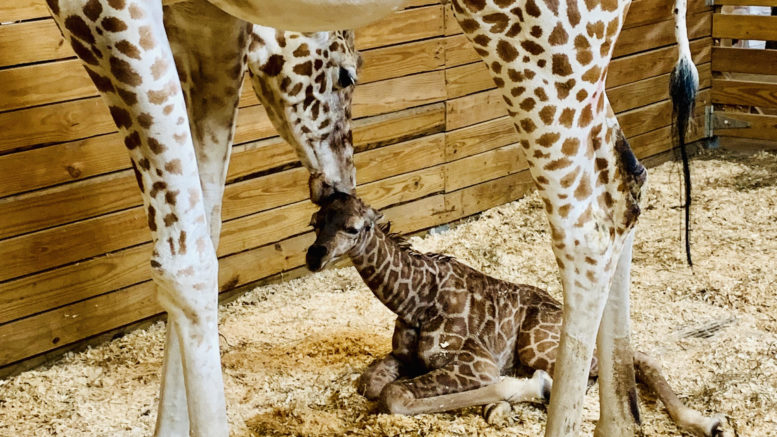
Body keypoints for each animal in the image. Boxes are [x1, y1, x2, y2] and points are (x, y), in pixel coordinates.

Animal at [306, 192, 724, 434]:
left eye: (353, 227)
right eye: (314, 223)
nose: (314, 257)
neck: (415, 300)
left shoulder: (476, 364)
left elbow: (394, 395)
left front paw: (515, 393)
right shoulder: (404, 355)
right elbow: (370, 383)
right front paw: (502, 402)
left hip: (535, 346)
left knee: (617, 362)